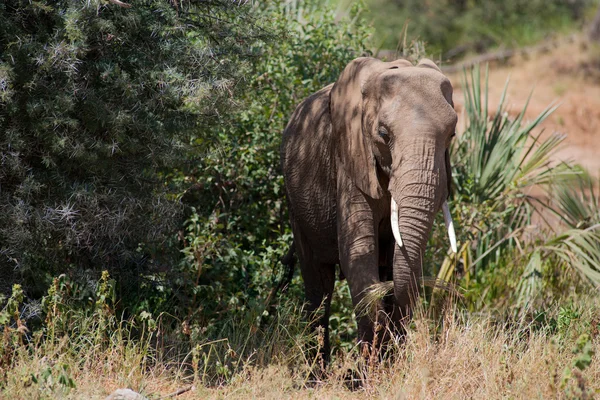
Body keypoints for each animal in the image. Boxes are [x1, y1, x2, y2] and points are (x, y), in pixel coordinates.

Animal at [282, 56, 460, 360]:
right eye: (383, 133)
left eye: (452, 134)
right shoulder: (350, 158)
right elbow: (359, 250)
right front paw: (369, 366)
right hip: (296, 205)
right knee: (319, 288)